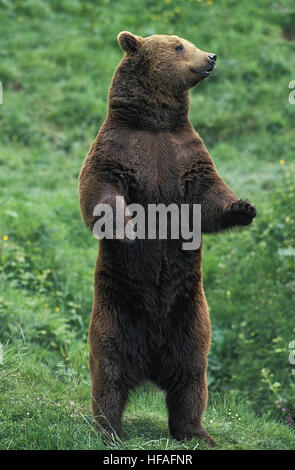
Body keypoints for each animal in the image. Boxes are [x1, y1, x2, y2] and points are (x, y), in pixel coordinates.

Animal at [78, 31, 256, 446]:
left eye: (188, 41)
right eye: (178, 46)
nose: (211, 56)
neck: (156, 124)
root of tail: (150, 361)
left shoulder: (186, 154)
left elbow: (209, 196)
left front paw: (243, 207)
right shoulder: (118, 149)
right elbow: (100, 188)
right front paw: (127, 225)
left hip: (190, 315)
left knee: (191, 376)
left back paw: (196, 432)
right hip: (114, 309)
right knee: (108, 371)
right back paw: (108, 430)